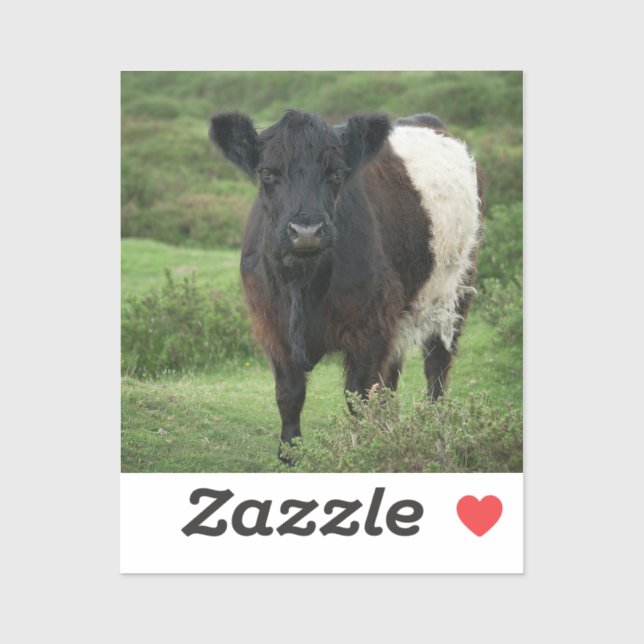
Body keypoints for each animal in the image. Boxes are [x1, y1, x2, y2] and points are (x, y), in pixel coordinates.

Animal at [209, 109, 483, 460]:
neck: (303, 281)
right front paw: (290, 454)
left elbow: (360, 395)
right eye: (267, 172)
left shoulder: (371, 325)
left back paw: (435, 432)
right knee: (393, 376)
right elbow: (289, 393)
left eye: (337, 172)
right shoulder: (270, 323)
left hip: (454, 292)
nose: (307, 231)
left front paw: (365, 450)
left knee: (437, 366)